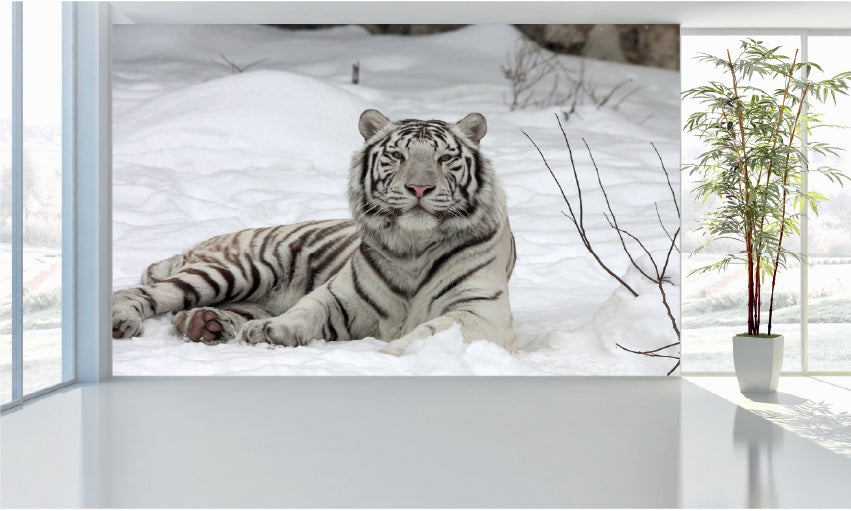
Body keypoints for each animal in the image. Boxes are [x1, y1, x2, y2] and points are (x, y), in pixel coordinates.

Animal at [111, 109, 517, 355]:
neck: (414, 245)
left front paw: (396, 352)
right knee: (143, 292)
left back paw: (206, 324)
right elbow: (305, 310)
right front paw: (268, 331)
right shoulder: (341, 296)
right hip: (240, 269)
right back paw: (124, 321)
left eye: (444, 159)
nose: (420, 188)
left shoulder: (480, 308)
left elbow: (433, 332)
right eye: (397, 156)